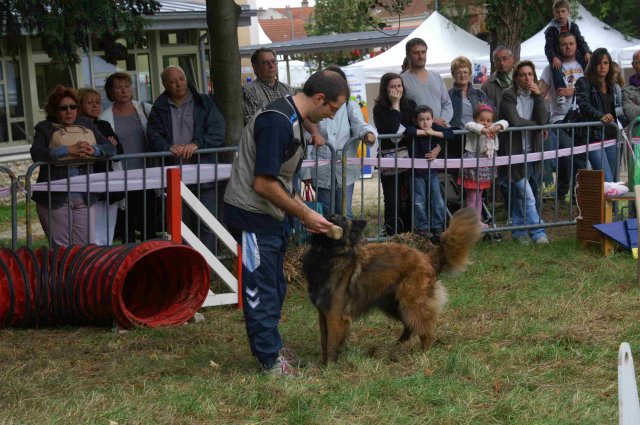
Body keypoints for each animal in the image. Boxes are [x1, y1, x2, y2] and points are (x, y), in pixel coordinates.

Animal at [304, 207, 480, 362]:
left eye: (342, 220)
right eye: (330, 214)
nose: (331, 216)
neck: (328, 254)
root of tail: (427, 258)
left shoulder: (335, 314)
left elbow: (331, 343)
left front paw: (329, 367)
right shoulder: (323, 313)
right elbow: (324, 341)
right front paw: (323, 364)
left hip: (411, 304)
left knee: (426, 329)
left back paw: (423, 354)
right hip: (394, 305)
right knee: (411, 326)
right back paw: (397, 346)